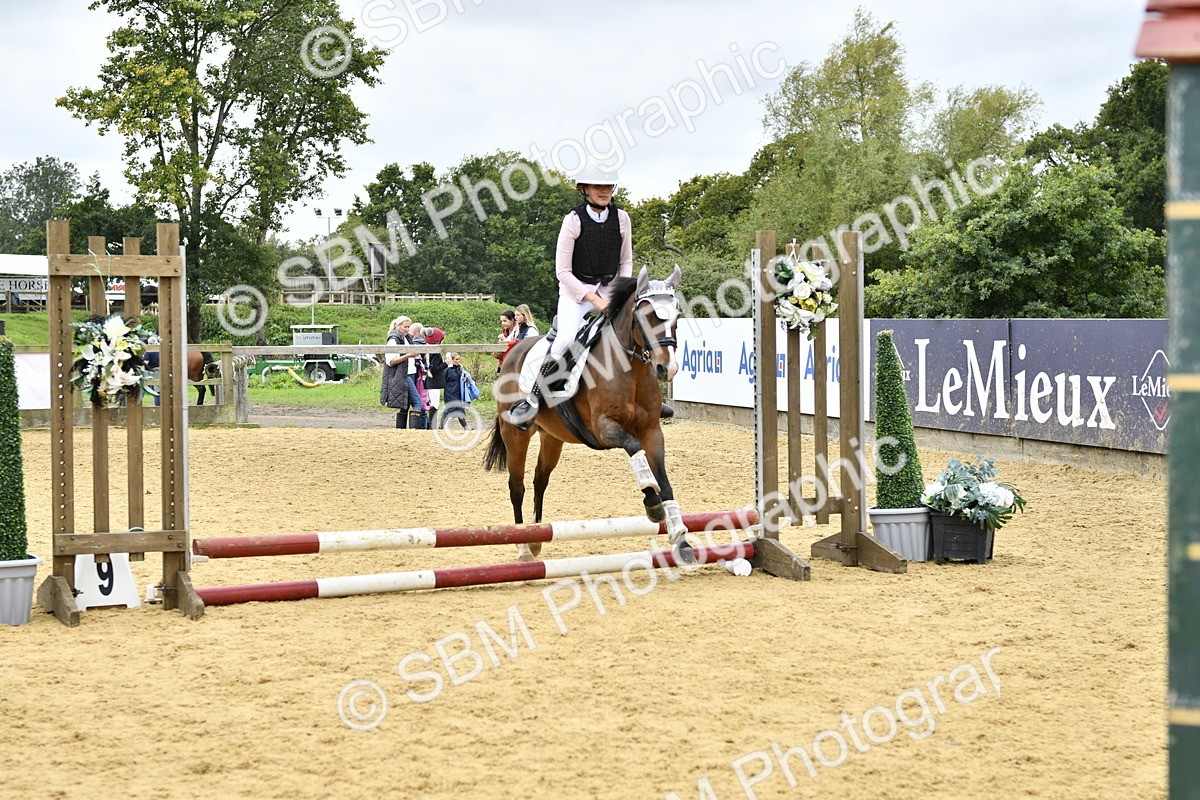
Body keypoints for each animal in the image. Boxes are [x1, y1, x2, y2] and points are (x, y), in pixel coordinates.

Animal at [483, 266, 686, 561]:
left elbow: (664, 479)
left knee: (540, 479)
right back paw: (522, 547)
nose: (666, 368)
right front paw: (652, 503)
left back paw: (536, 539)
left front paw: (680, 537)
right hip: (515, 435)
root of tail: (512, 352)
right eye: (646, 316)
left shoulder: (652, 431)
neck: (630, 369)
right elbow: (634, 448)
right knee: (516, 485)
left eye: (676, 317)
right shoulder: (604, 427)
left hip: (551, 436)